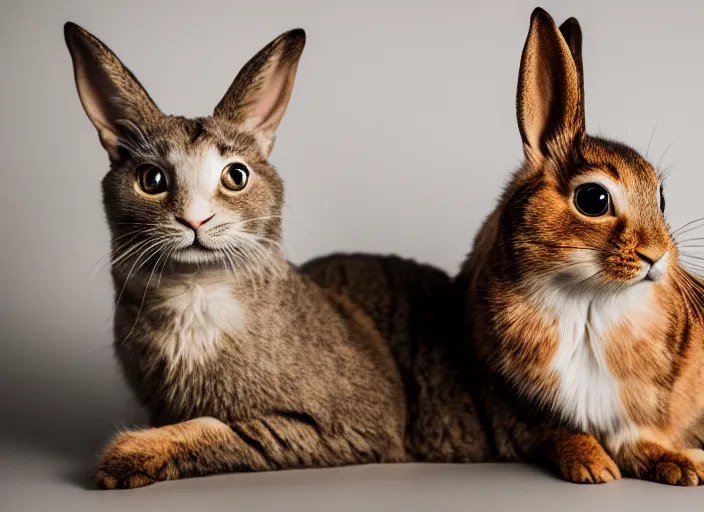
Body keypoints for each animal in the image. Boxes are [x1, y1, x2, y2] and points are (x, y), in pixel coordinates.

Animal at [64, 23, 412, 488]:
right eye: (151, 180)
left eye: (237, 176)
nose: (195, 219)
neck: (196, 294)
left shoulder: (358, 427)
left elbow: (229, 430)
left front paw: (133, 453)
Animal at [460, 8, 704, 486]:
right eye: (593, 199)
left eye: (661, 197)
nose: (657, 254)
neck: (587, 301)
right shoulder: (526, 407)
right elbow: (561, 432)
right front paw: (594, 467)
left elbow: (635, 439)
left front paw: (683, 467)